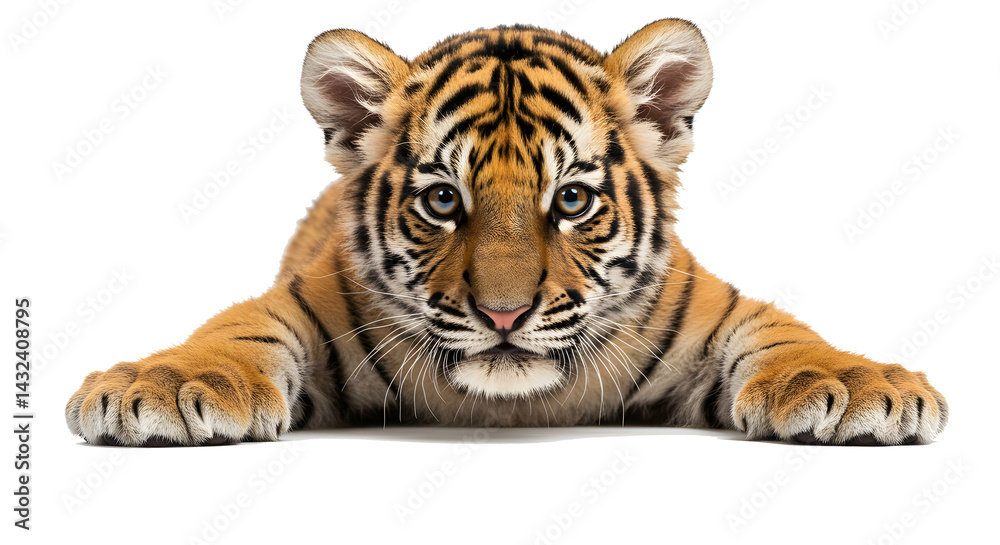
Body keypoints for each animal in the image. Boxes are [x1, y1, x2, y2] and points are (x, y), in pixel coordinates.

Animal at [65, 18, 948, 447]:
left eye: (573, 200)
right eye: (442, 200)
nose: (503, 314)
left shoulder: (713, 310)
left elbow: (791, 336)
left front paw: (865, 387)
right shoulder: (306, 302)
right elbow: (231, 332)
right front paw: (159, 385)